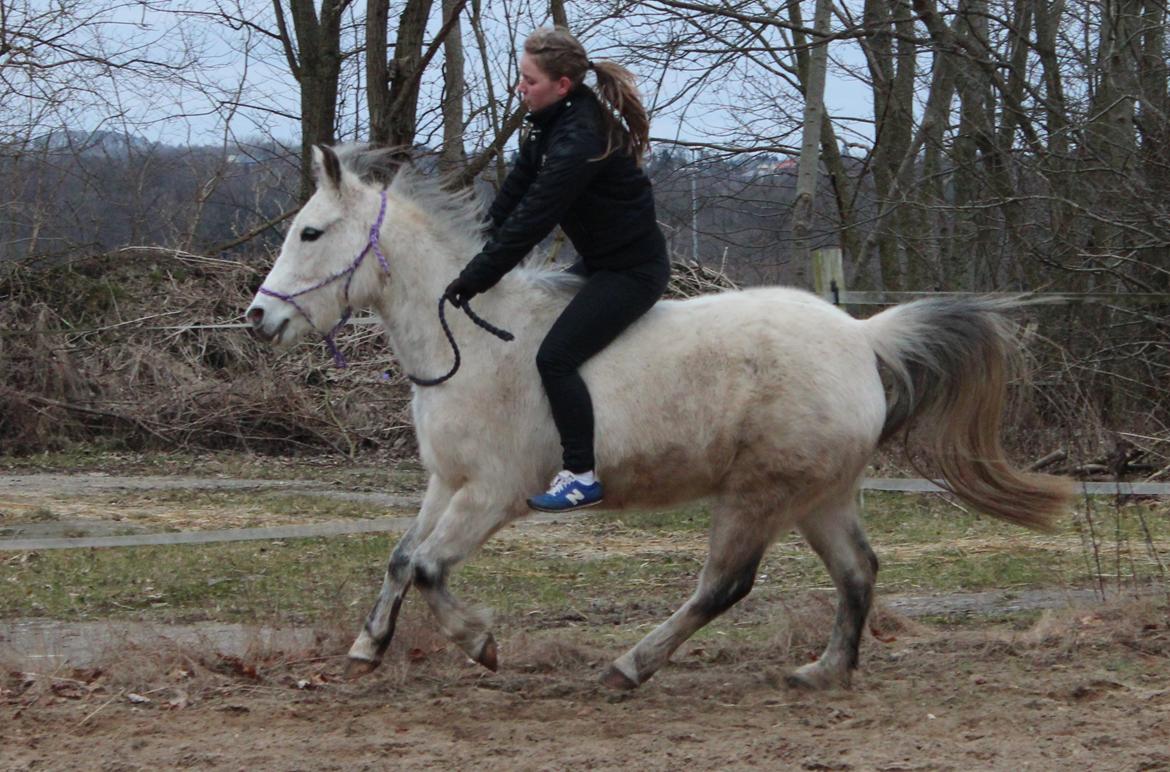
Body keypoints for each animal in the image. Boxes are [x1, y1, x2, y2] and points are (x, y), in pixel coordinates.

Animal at [249, 146, 1076, 692]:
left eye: (311, 232)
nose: (259, 319)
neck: (474, 342)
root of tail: (861, 336)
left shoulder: (490, 494)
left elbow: (427, 568)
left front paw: (480, 643)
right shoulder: (446, 483)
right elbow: (400, 558)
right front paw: (367, 647)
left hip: (757, 496)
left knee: (724, 586)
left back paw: (629, 665)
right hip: (818, 496)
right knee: (857, 571)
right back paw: (823, 671)